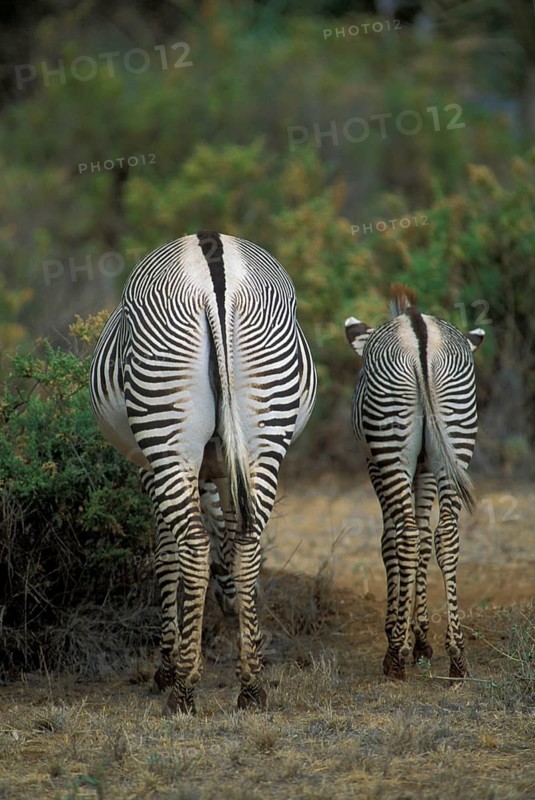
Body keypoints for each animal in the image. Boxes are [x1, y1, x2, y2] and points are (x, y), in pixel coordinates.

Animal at [90, 231, 317, 713]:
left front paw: (167, 665)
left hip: (164, 430)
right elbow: (228, 543)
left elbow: (166, 556)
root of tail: (214, 263)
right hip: (265, 425)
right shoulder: (225, 467)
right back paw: (251, 686)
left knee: (192, 548)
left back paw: (182, 689)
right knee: (247, 544)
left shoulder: (149, 471)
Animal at [344, 284, 484, 681]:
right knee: (446, 535)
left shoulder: (375, 465)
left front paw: (403, 637)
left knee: (405, 536)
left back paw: (394, 659)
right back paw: (457, 658)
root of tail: (418, 331)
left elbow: (390, 541)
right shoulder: (424, 467)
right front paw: (421, 639)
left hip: (390, 445)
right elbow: (424, 538)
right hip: (455, 437)